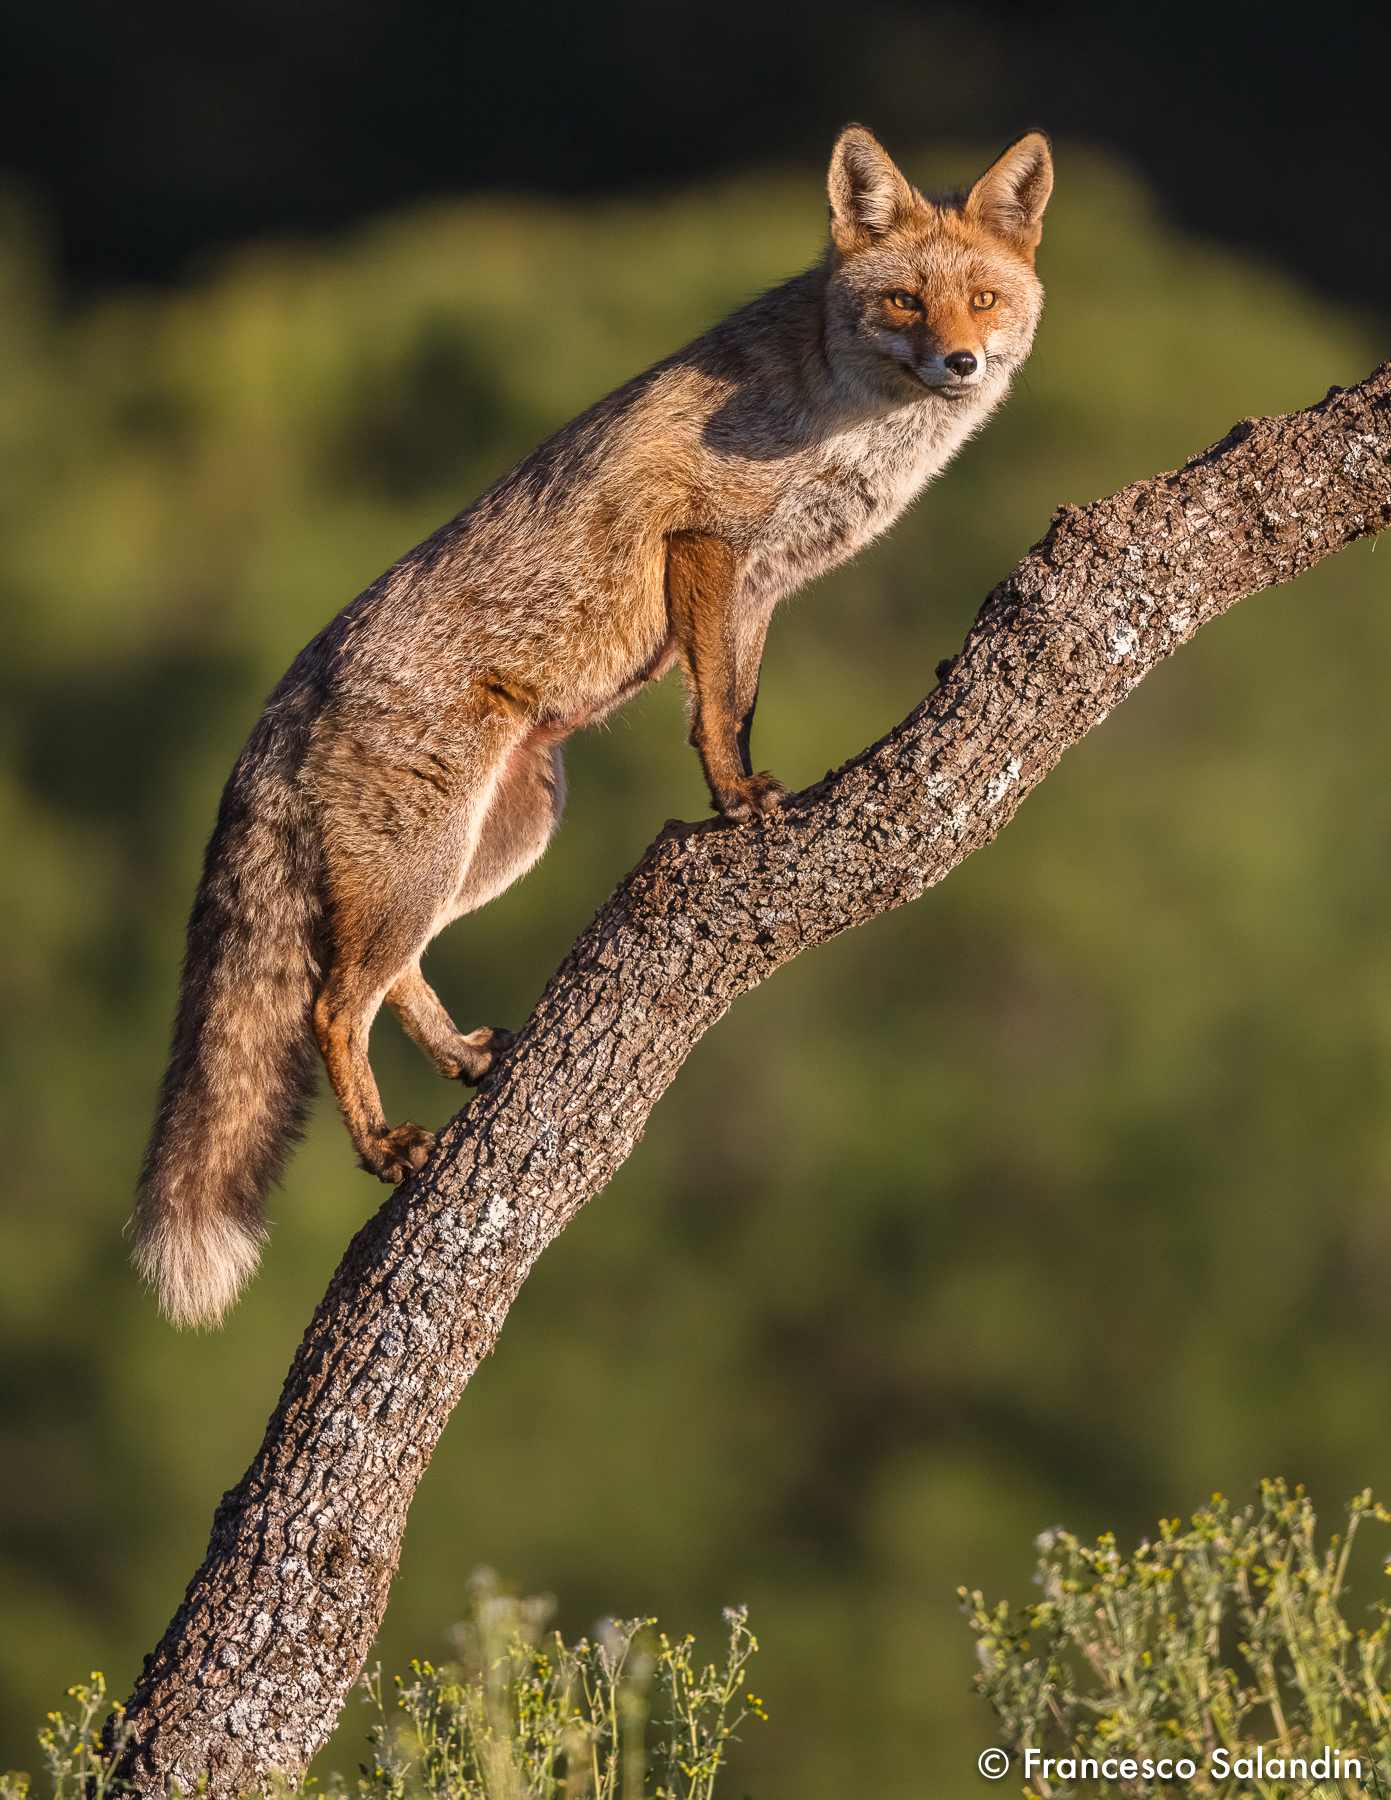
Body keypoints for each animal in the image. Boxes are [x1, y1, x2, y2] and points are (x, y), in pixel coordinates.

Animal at [133, 125, 1053, 1327]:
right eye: (903, 301)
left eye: (981, 301)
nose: (960, 365)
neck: (845, 423)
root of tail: (284, 695)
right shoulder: (708, 546)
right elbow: (715, 713)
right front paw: (735, 802)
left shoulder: (760, 589)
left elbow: (735, 699)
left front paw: (738, 791)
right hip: (428, 855)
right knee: (333, 1003)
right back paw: (383, 1148)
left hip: (506, 832)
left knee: (390, 974)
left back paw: (463, 1059)